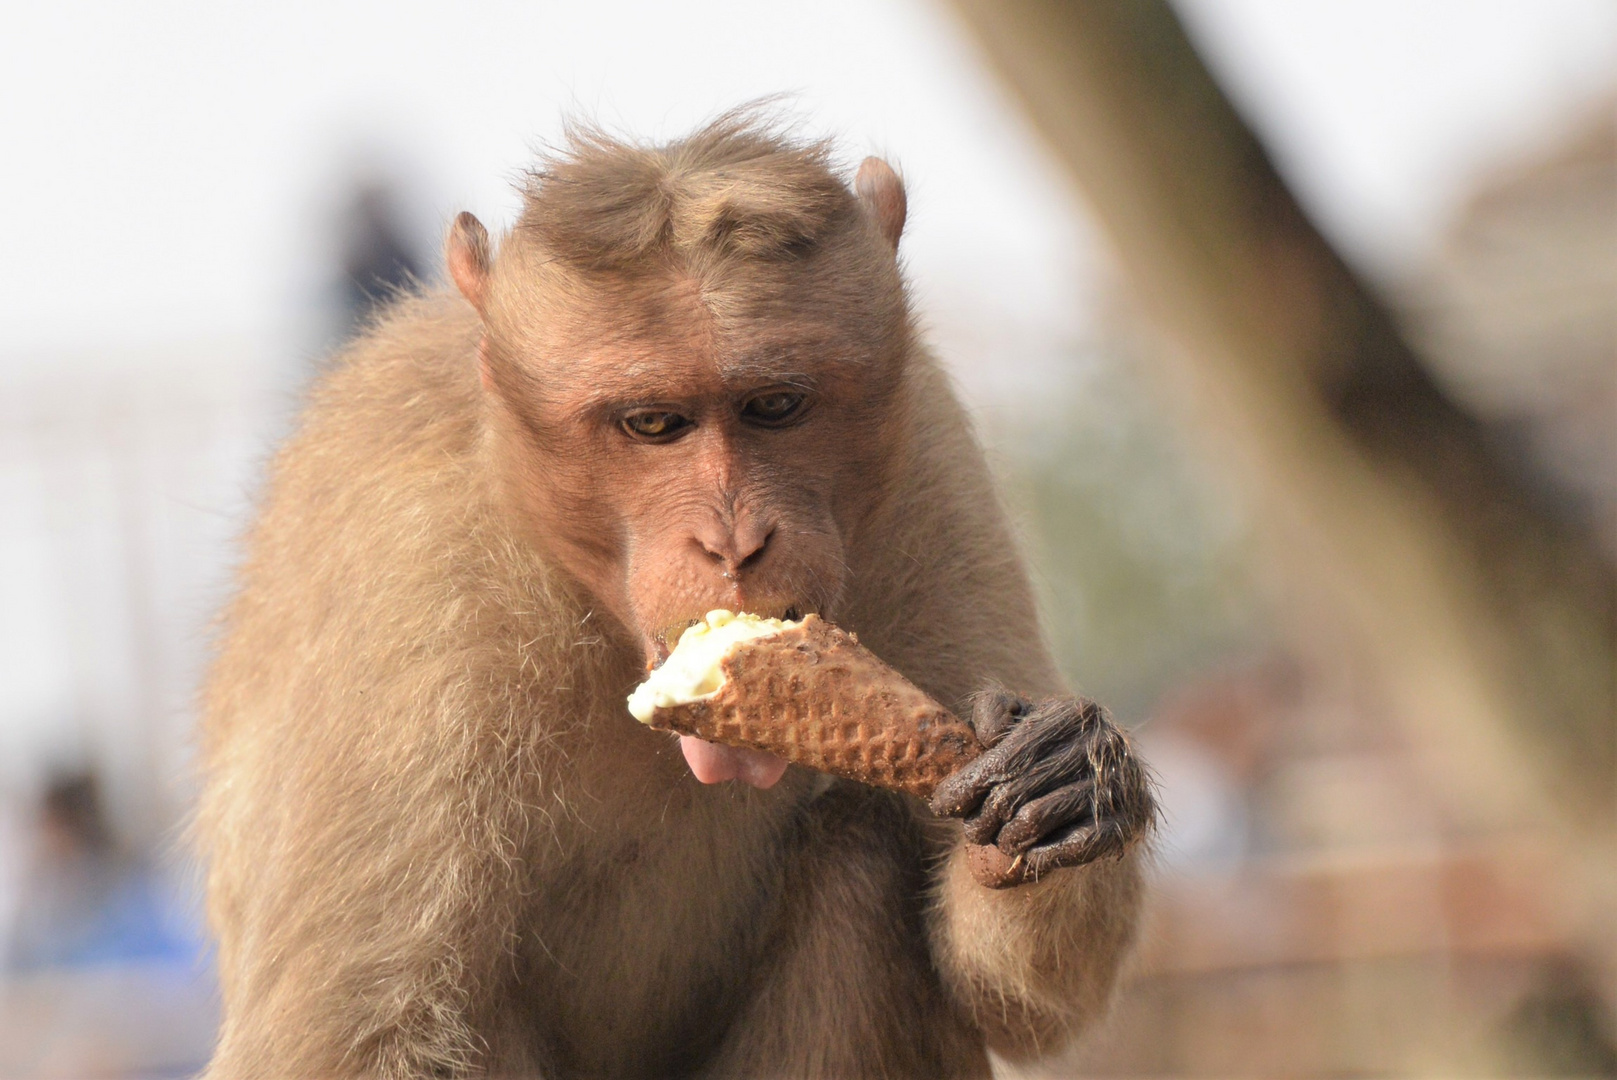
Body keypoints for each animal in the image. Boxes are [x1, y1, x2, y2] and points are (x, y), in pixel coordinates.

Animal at [198, 113, 1151, 1073]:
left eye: (776, 405)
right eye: (653, 424)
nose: (734, 543)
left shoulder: (927, 458)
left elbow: (1019, 1003)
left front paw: (1060, 782)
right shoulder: (415, 572)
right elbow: (363, 1033)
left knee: (860, 850)